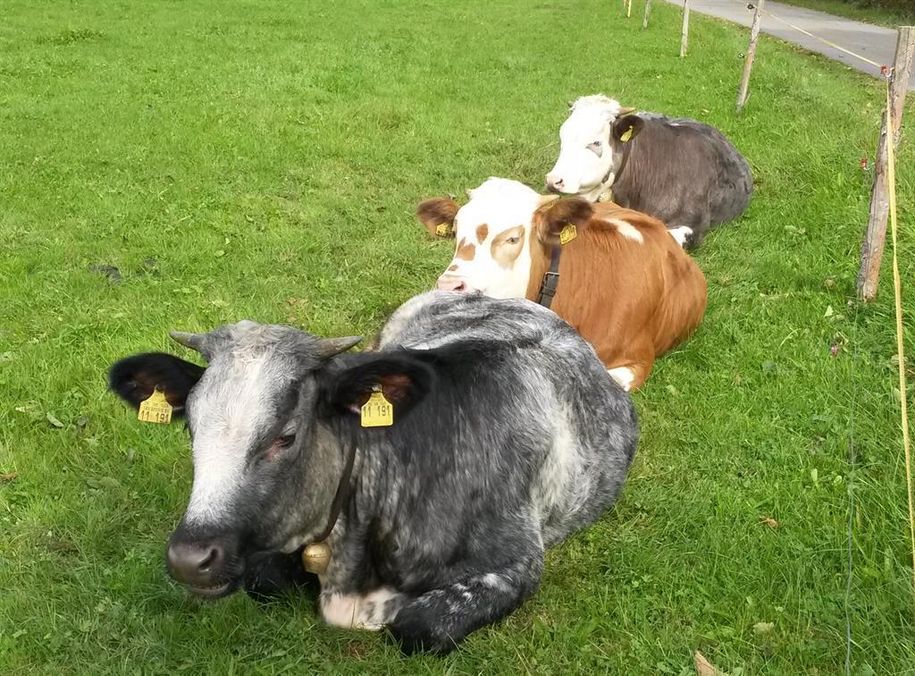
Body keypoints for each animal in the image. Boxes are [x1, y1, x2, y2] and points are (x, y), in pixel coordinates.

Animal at [107, 290, 636, 656]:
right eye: (191, 427)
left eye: (286, 436)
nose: (190, 558)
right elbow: (264, 579)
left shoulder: (520, 562)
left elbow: (419, 625)